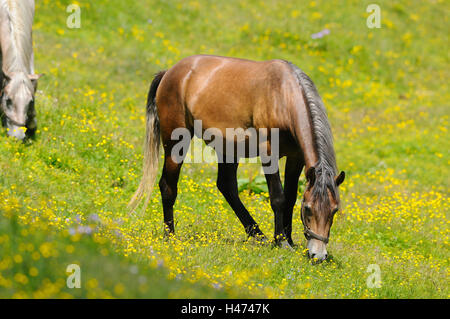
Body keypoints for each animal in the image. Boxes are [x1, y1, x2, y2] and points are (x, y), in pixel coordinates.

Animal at [128, 55, 346, 264]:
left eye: (334, 211)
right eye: (308, 209)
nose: (318, 255)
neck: (283, 96)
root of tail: (169, 73)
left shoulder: (296, 158)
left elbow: (291, 198)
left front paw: (289, 239)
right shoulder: (268, 154)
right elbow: (278, 198)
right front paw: (281, 242)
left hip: (227, 149)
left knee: (227, 187)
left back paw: (258, 235)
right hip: (176, 143)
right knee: (168, 186)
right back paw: (170, 236)